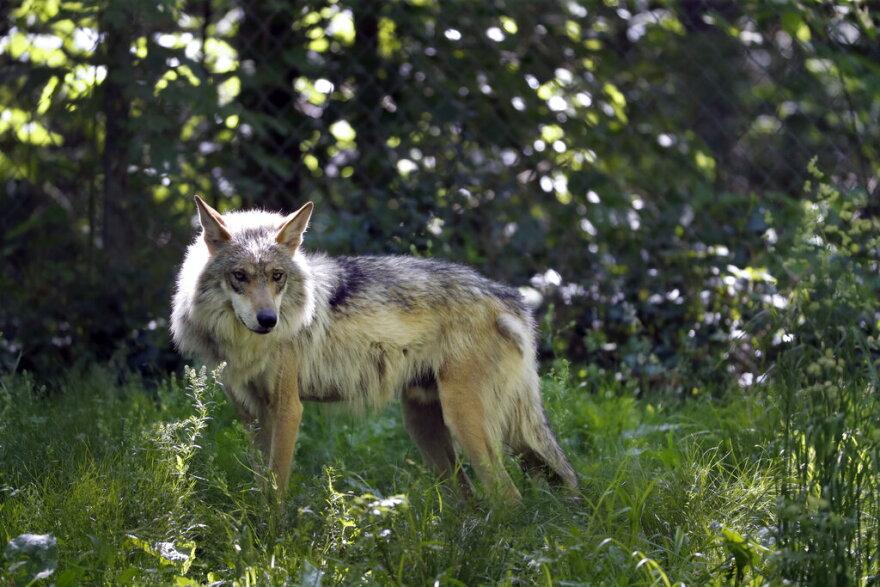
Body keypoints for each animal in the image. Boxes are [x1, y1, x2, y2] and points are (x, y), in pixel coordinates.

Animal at [171, 196, 577, 502]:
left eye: (277, 276)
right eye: (239, 276)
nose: (268, 320)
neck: (246, 346)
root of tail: (509, 297)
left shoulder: (287, 411)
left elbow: (277, 492)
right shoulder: (252, 417)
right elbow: (261, 490)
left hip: (467, 425)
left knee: (509, 498)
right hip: (426, 429)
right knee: (472, 500)